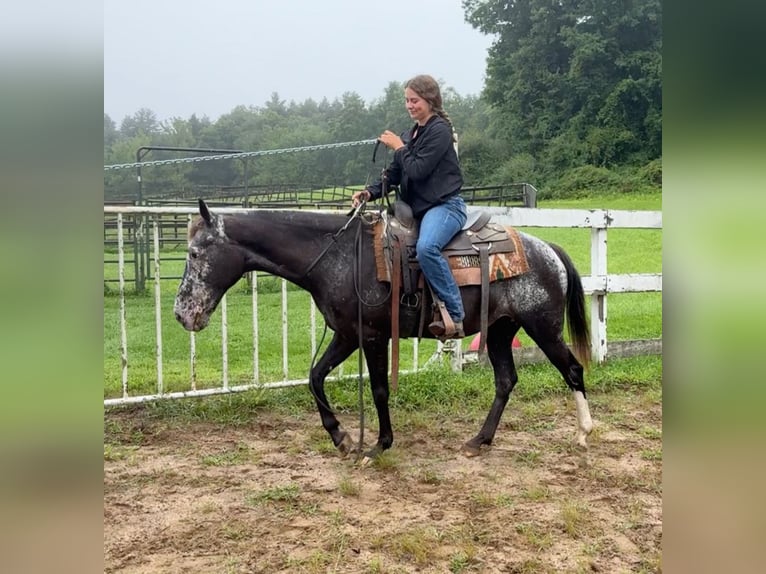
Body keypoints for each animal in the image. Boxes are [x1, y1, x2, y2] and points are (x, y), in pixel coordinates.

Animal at [177, 200, 596, 462]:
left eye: (195, 253)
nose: (182, 314)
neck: (340, 256)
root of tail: (548, 249)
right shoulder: (347, 334)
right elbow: (315, 377)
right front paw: (342, 438)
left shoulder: (374, 336)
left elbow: (379, 390)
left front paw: (379, 444)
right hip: (499, 331)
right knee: (506, 380)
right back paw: (479, 440)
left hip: (542, 327)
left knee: (572, 370)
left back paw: (584, 432)